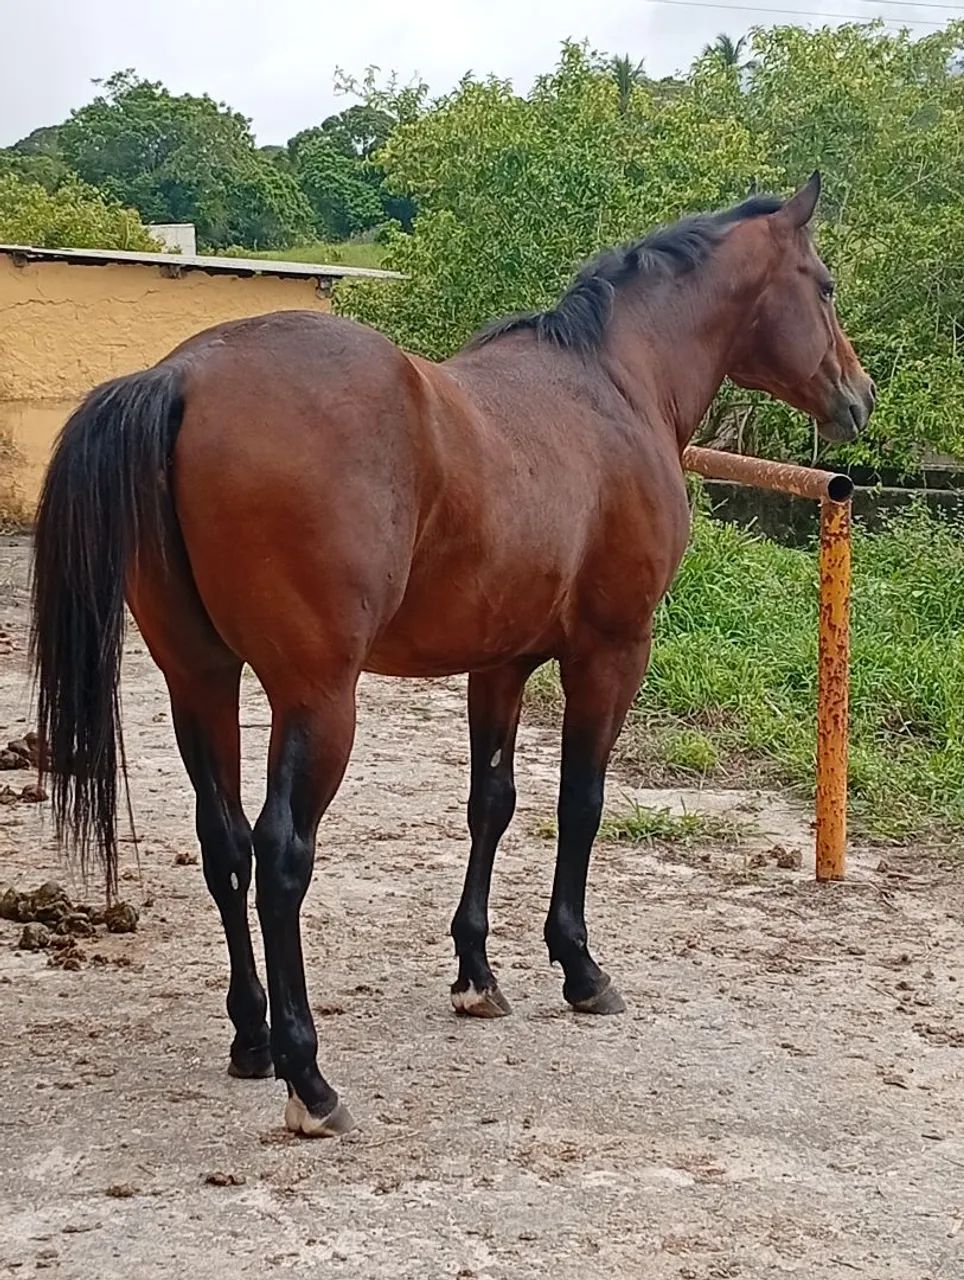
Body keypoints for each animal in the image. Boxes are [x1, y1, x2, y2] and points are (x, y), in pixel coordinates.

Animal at [31, 172, 874, 1138]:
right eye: (825, 286)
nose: (859, 396)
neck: (614, 385)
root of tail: (182, 378)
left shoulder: (498, 663)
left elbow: (491, 805)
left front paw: (476, 974)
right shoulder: (611, 653)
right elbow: (580, 804)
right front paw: (579, 968)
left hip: (198, 681)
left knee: (226, 845)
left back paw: (251, 1040)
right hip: (317, 699)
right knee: (281, 857)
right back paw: (308, 1077)